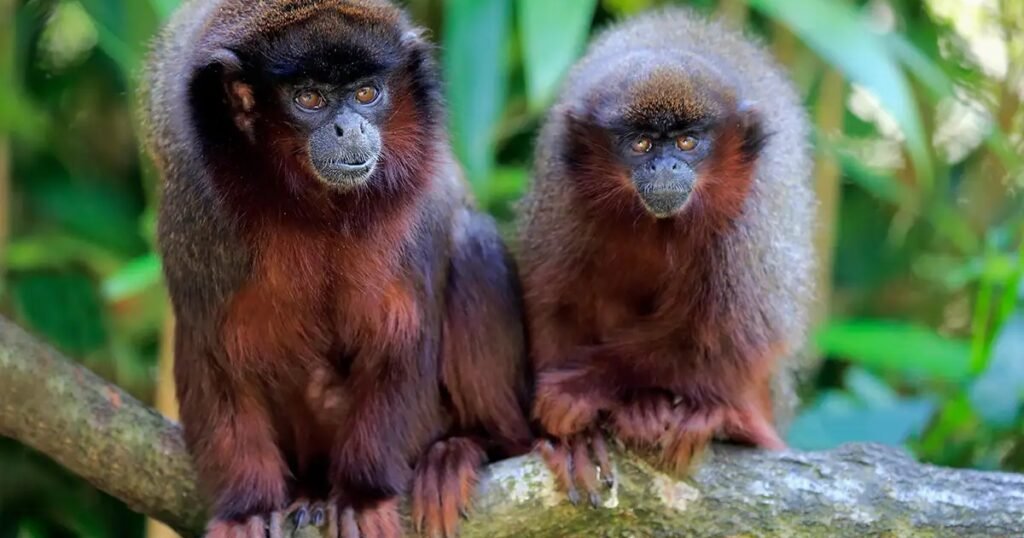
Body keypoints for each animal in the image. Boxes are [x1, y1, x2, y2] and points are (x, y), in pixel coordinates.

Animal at [141, 1, 533, 536]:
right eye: (309, 98)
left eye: (367, 93)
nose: (352, 128)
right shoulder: (195, 217)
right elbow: (215, 356)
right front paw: (247, 507)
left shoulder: (417, 214)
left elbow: (402, 339)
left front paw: (363, 496)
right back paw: (310, 488)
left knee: (473, 244)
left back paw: (464, 448)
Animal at [517, 8, 814, 503]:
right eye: (641, 145)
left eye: (687, 143)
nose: (665, 167)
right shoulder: (562, 191)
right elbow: (556, 303)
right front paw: (573, 437)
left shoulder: (750, 216)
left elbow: (730, 332)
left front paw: (580, 389)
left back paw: (714, 417)